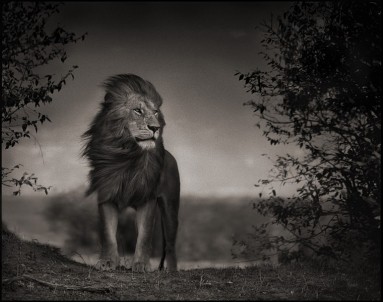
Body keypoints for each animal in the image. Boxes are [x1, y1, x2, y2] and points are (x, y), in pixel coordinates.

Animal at [82, 74, 180, 272]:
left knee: (170, 245)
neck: (127, 157)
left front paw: (141, 265)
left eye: (156, 112)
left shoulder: (148, 199)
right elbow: (108, 234)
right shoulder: (106, 196)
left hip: (171, 209)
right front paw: (107, 262)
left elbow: (144, 236)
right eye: (137, 111)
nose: (155, 128)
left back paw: (172, 271)